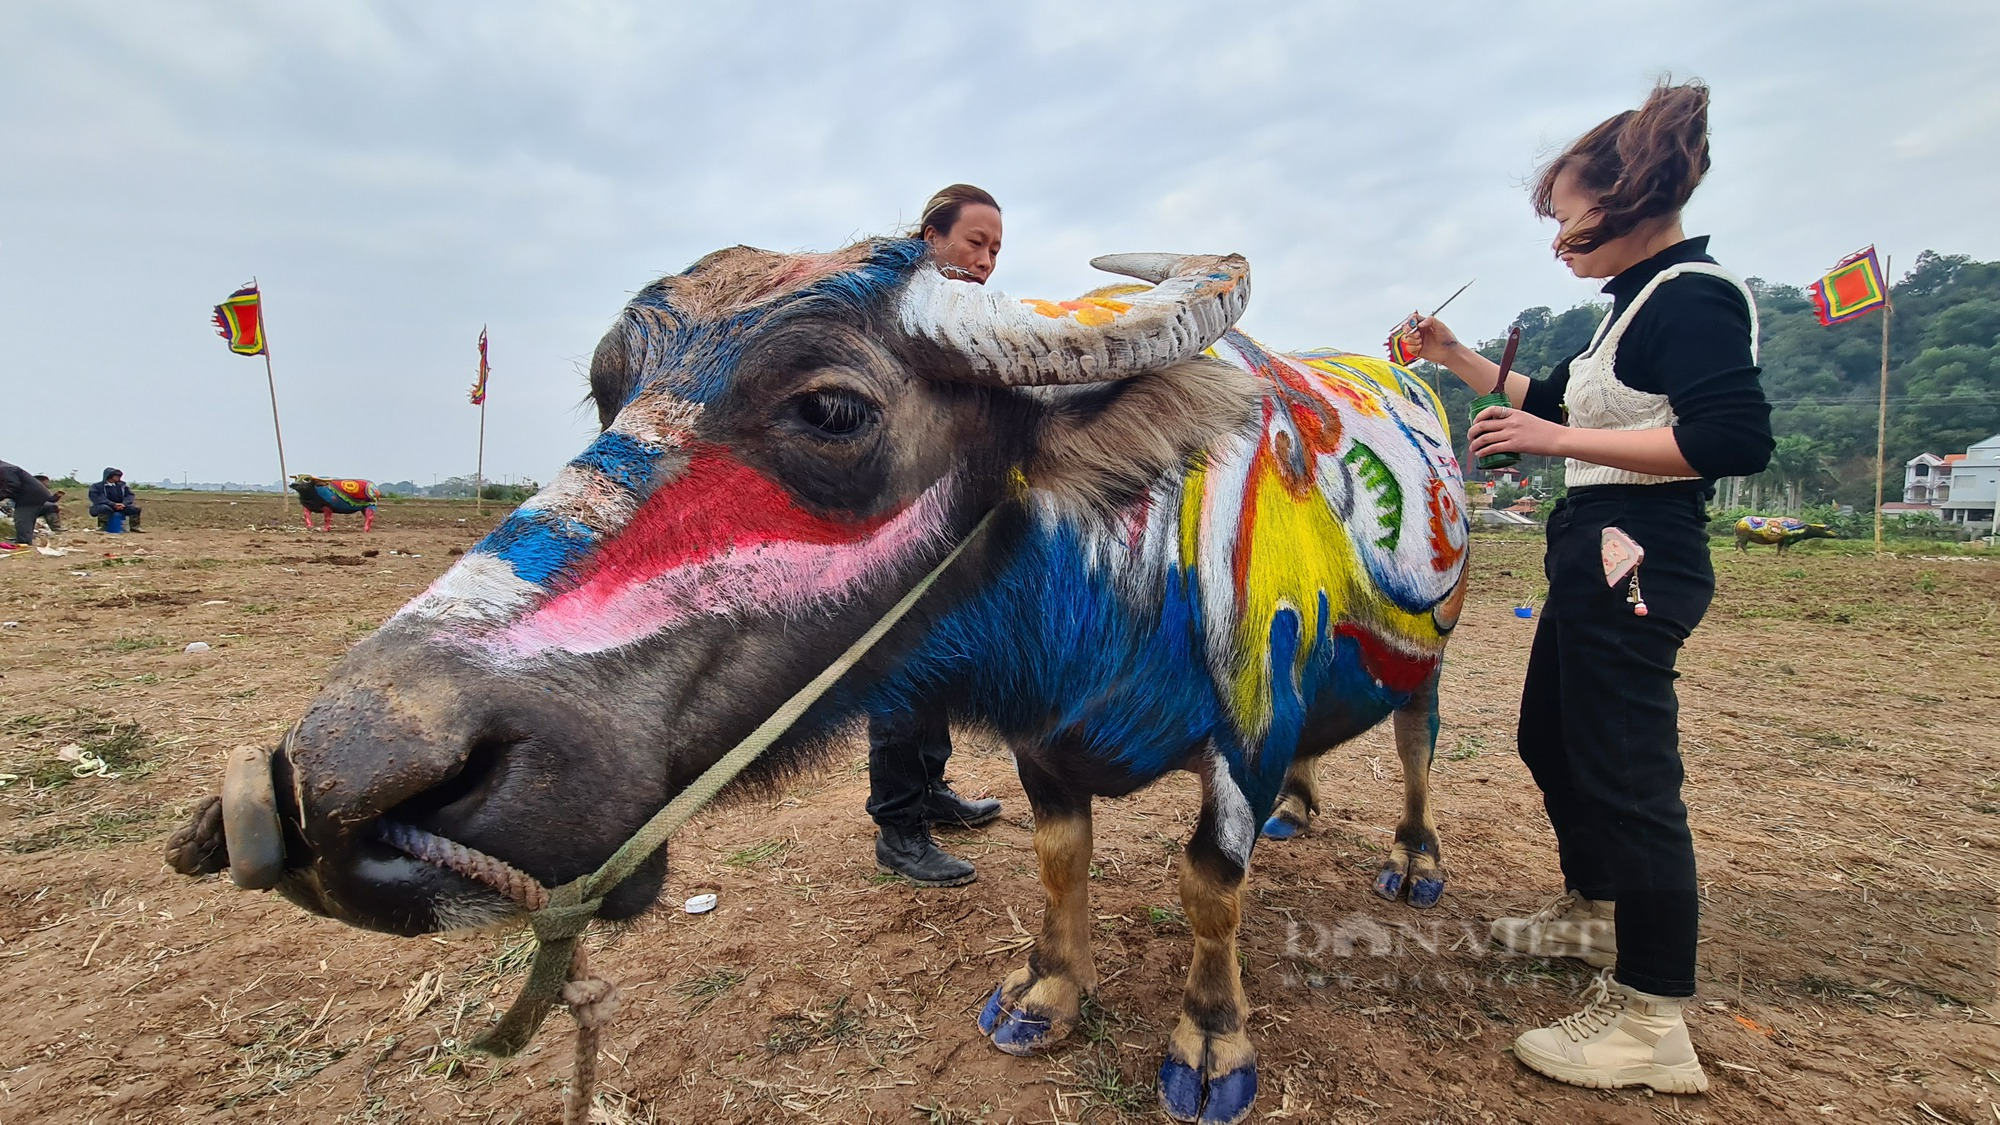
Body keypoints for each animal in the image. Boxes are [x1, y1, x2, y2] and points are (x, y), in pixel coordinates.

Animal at [199, 238, 1472, 1120]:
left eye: (831, 408)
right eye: (611, 395)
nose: (332, 779)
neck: (1116, 558)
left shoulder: (1242, 734)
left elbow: (1210, 889)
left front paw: (1210, 1046)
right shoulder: (1042, 747)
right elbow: (1061, 865)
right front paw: (1045, 996)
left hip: (1431, 665)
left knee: (1414, 744)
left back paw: (1413, 861)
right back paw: (1302, 813)